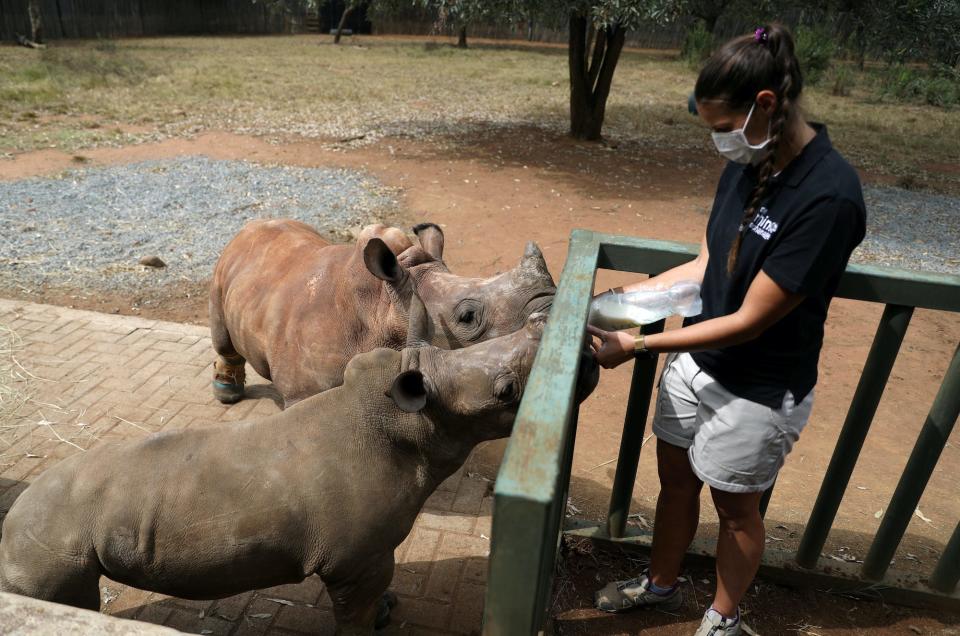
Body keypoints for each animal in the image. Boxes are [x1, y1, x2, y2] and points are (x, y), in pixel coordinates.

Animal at [0, 290, 600, 632]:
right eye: (506, 392)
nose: (588, 353)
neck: (407, 421)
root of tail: (14, 515)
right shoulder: (355, 559)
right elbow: (355, 612)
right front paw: (371, 624)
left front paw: (387, 610)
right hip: (52, 543)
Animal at [210, 219, 556, 408]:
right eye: (467, 317)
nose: (549, 312)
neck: (384, 306)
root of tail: (252, 226)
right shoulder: (302, 392)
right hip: (223, 268)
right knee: (222, 335)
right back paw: (227, 392)